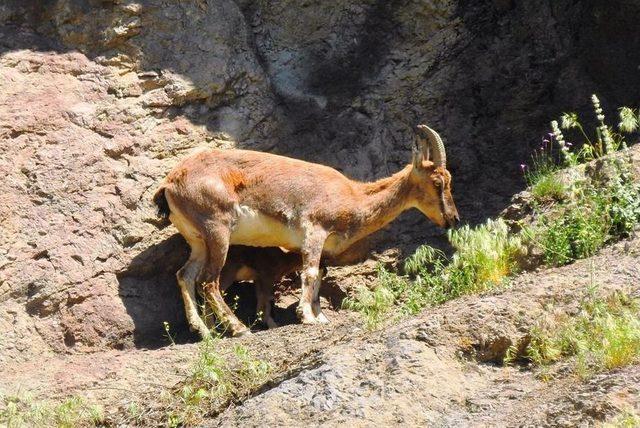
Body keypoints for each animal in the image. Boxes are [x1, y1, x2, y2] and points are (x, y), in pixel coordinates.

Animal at [152, 124, 458, 338]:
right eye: (437, 182)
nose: (452, 219)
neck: (352, 195)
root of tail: (170, 183)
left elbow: (320, 274)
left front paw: (320, 316)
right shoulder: (315, 230)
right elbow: (310, 272)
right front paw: (306, 317)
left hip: (199, 241)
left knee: (185, 275)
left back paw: (206, 332)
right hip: (218, 232)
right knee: (208, 281)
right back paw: (238, 329)